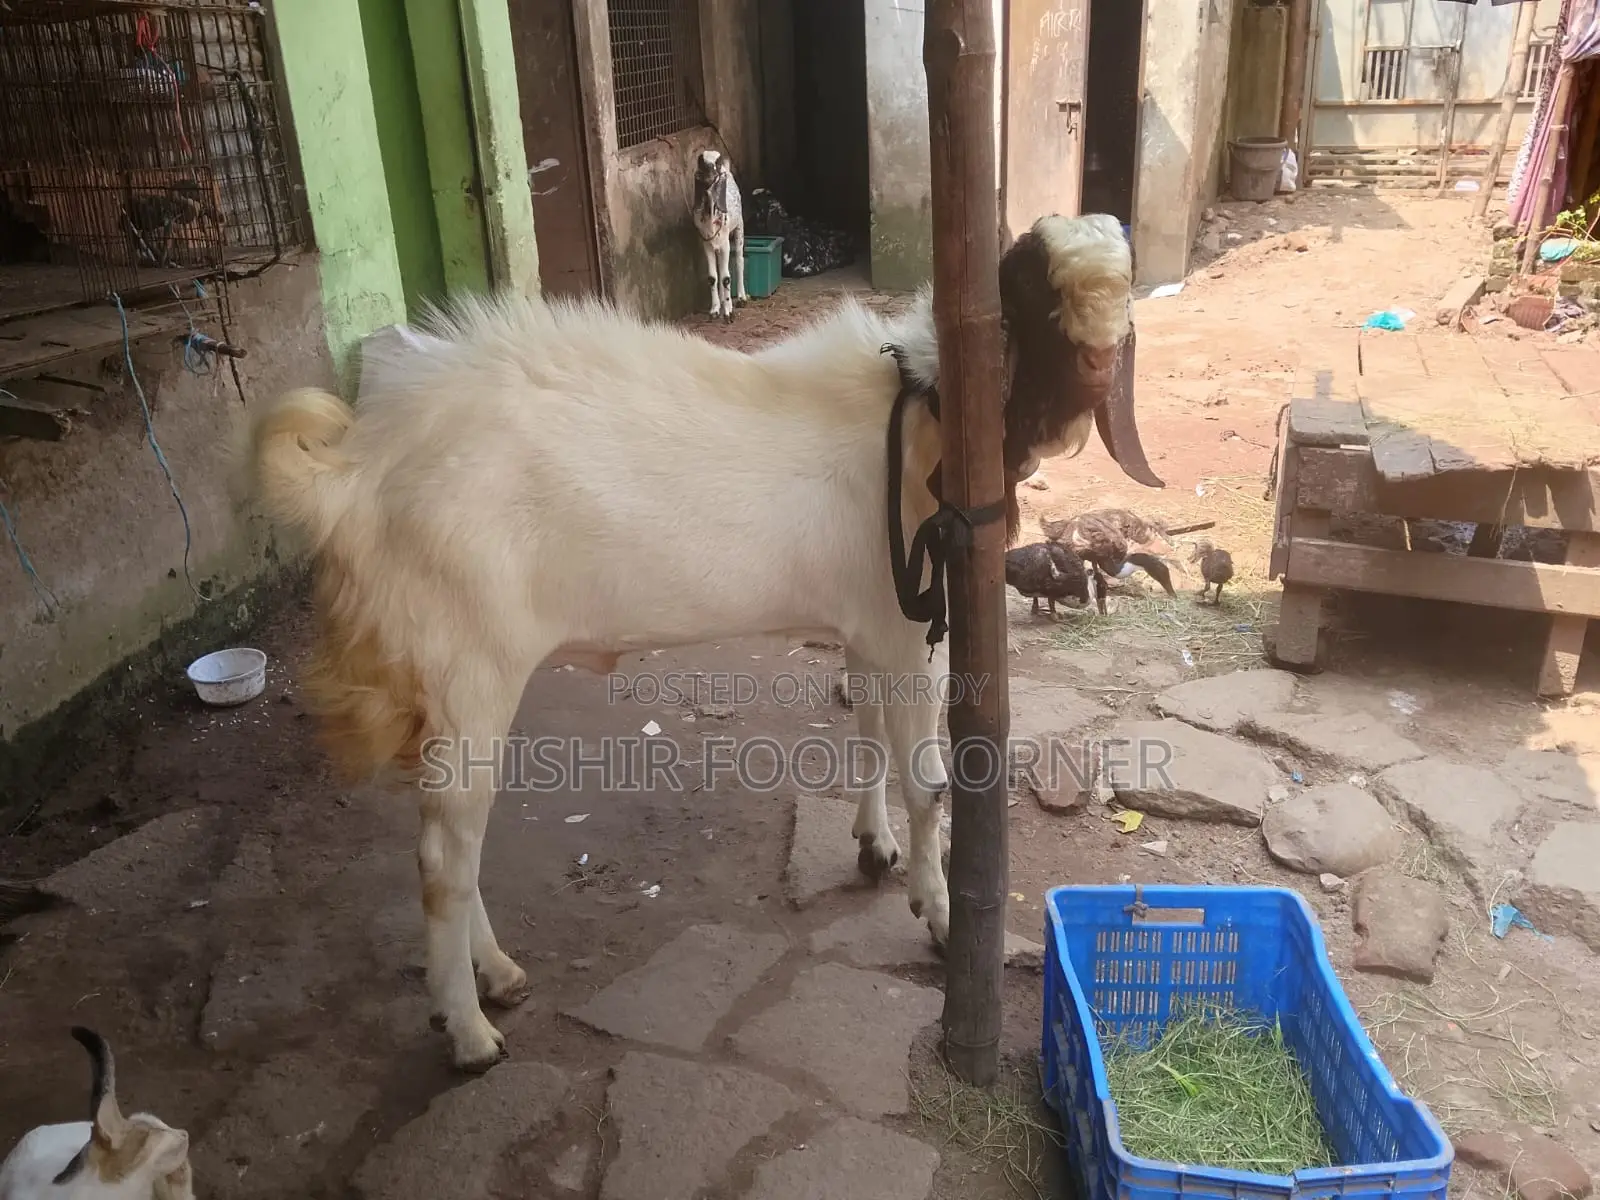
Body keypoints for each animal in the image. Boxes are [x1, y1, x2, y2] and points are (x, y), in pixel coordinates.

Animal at [243, 210, 1160, 1072]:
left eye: (1121, 297)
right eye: (1042, 303)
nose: (1094, 368)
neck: (922, 415)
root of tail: (355, 475)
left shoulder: (869, 626)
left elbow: (865, 733)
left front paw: (874, 848)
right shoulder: (908, 633)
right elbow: (927, 784)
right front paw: (935, 914)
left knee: (448, 844)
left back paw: (496, 976)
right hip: (470, 672)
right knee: (444, 857)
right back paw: (469, 1032)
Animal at [691, 149, 746, 322]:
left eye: (716, 161)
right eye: (700, 160)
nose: (708, 170)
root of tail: (728, 171)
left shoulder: (725, 244)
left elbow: (726, 278)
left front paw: (728, 313)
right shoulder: (707, 243)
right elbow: (713, 277)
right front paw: (715, 309)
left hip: (739, 228)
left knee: (739, 261)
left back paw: (742, 298)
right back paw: (722, 301)